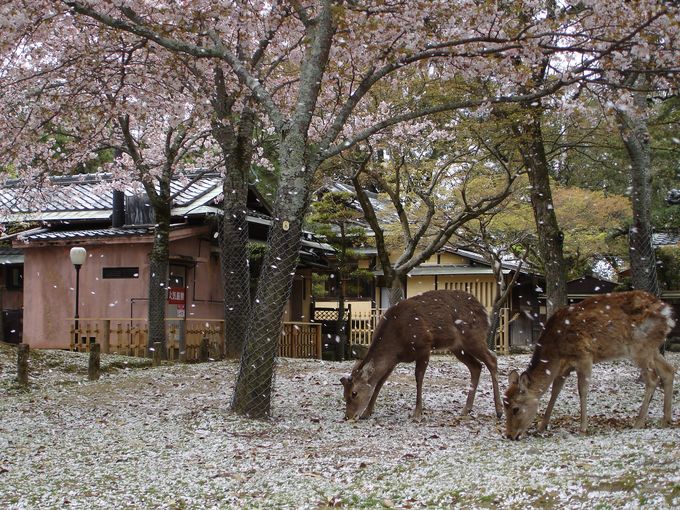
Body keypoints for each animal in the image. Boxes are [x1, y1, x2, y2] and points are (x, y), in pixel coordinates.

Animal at [340, 290, 504, 422]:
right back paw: (465, 410)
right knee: (476, 366)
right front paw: (367, 413)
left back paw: (499, 410)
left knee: (492, 360)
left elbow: (418, 378)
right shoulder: (393, 360)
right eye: (344, 394)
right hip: (457, 347)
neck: (396, 342)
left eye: (354, 393)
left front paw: (417, 413)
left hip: (473, 337)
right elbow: (380, 382)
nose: (348, 416)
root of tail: (484, 311)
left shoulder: (424, 346)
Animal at [504, 288, 676, 440]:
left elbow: (582, 390)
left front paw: (582, 428)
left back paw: (638, 423)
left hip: (640, 347)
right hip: (652, 348)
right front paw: (541, 426)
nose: (510, 436)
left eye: (515, 409)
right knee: (669, 370)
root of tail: (668, 312)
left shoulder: (584, 356)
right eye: (505, 405)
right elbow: (555, 391)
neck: (556, 351)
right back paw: (665, 420)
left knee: (653, 378)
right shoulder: (565, 366)